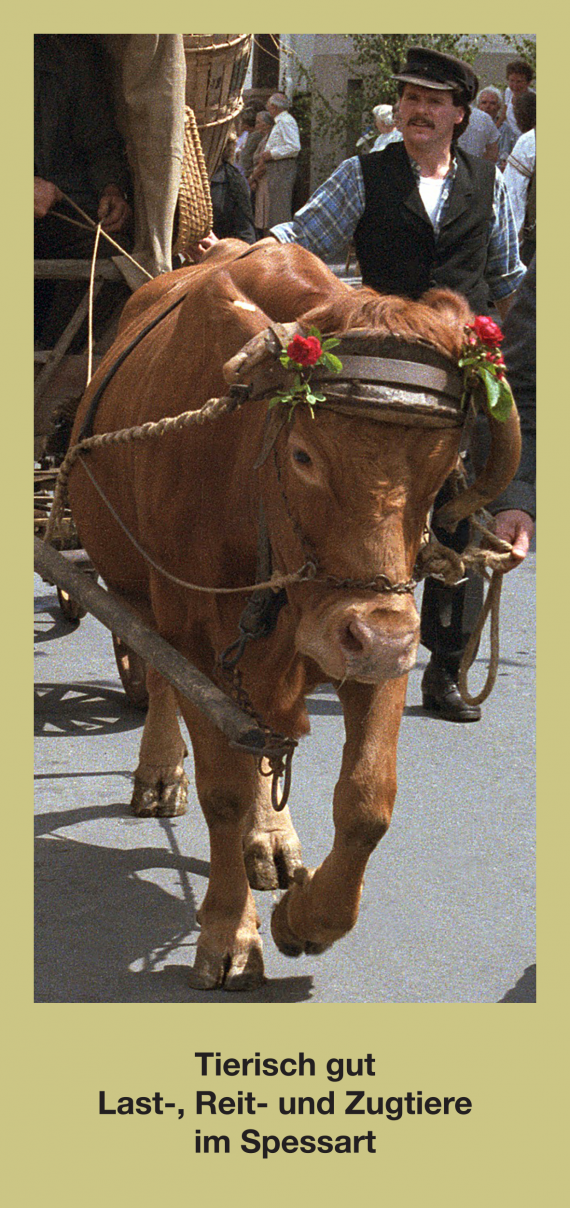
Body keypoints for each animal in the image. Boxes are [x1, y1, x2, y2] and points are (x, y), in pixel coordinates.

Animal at [67, 239, 520, 991]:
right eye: (304, 454)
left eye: (442, 468)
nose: (375, 639)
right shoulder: (196, 644)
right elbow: (223, 788)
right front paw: (230, 931)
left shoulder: (379, 632)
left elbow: (367, 799)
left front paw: (307, 920)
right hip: (134, 588)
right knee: (157, 685)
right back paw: (160, 774)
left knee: (269, 737)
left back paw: (272, 841)